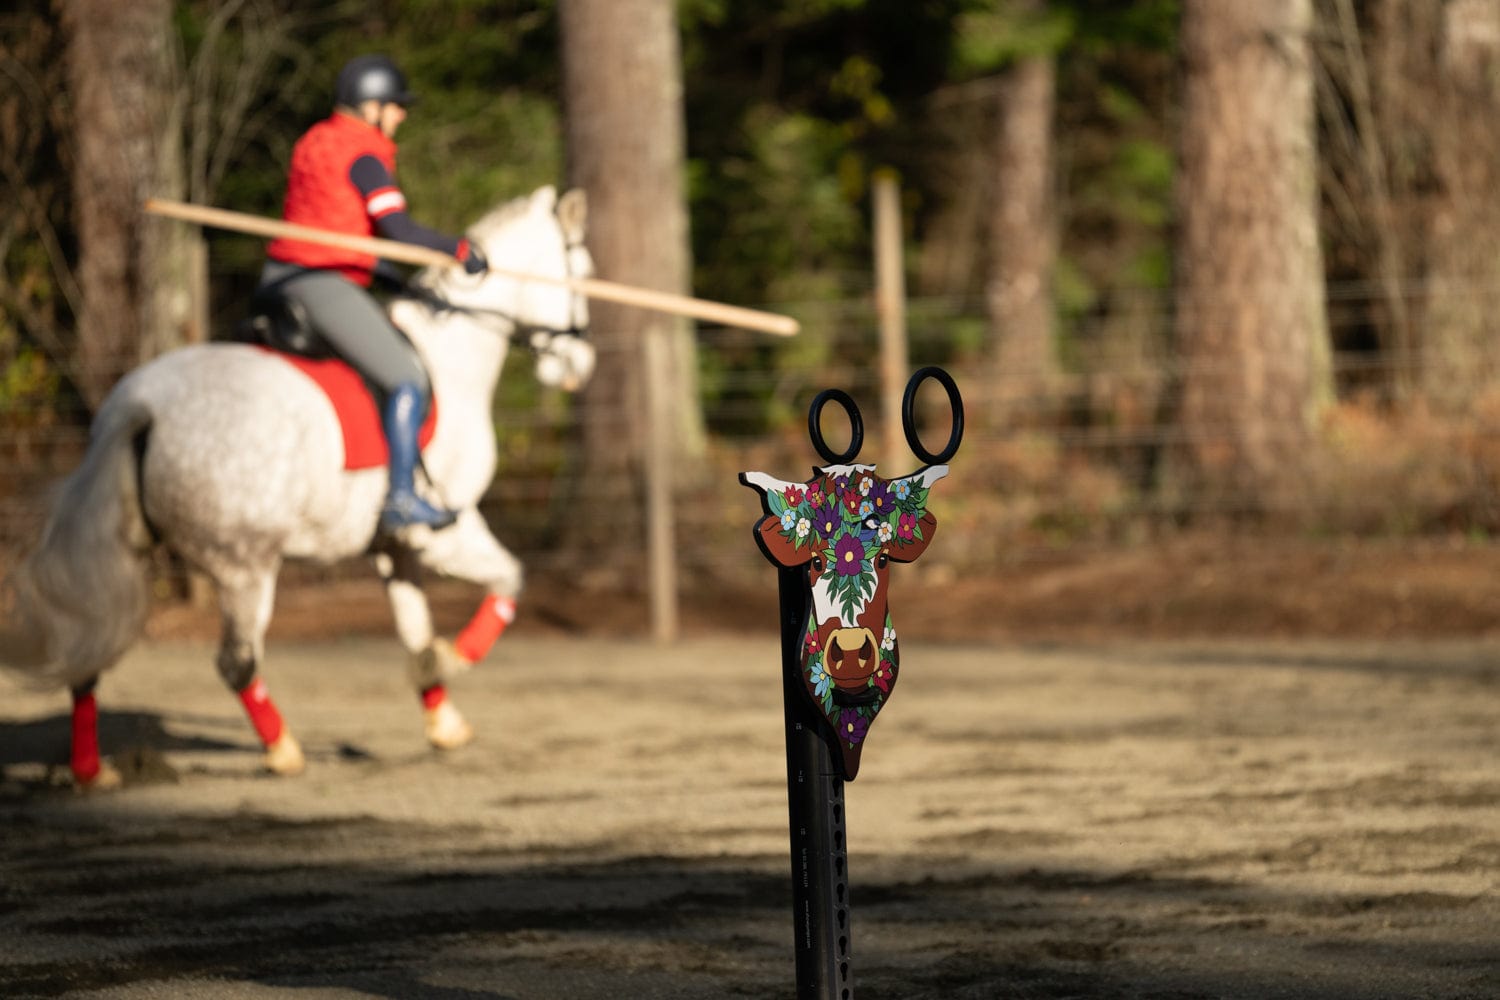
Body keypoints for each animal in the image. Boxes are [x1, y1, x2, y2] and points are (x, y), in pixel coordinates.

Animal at [0, 182, 597, 791]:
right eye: (581, 271)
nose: (580, 361)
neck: (452, 359)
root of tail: (140, 405)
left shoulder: (395, 546)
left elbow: (415, 627)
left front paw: (444, 717)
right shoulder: (446, 532)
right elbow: (511, 578)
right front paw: (456, 657)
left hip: (125, 550)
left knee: (87, 648)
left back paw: (91, 772)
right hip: (245, 567)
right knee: (236, 661)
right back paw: (283, 751)